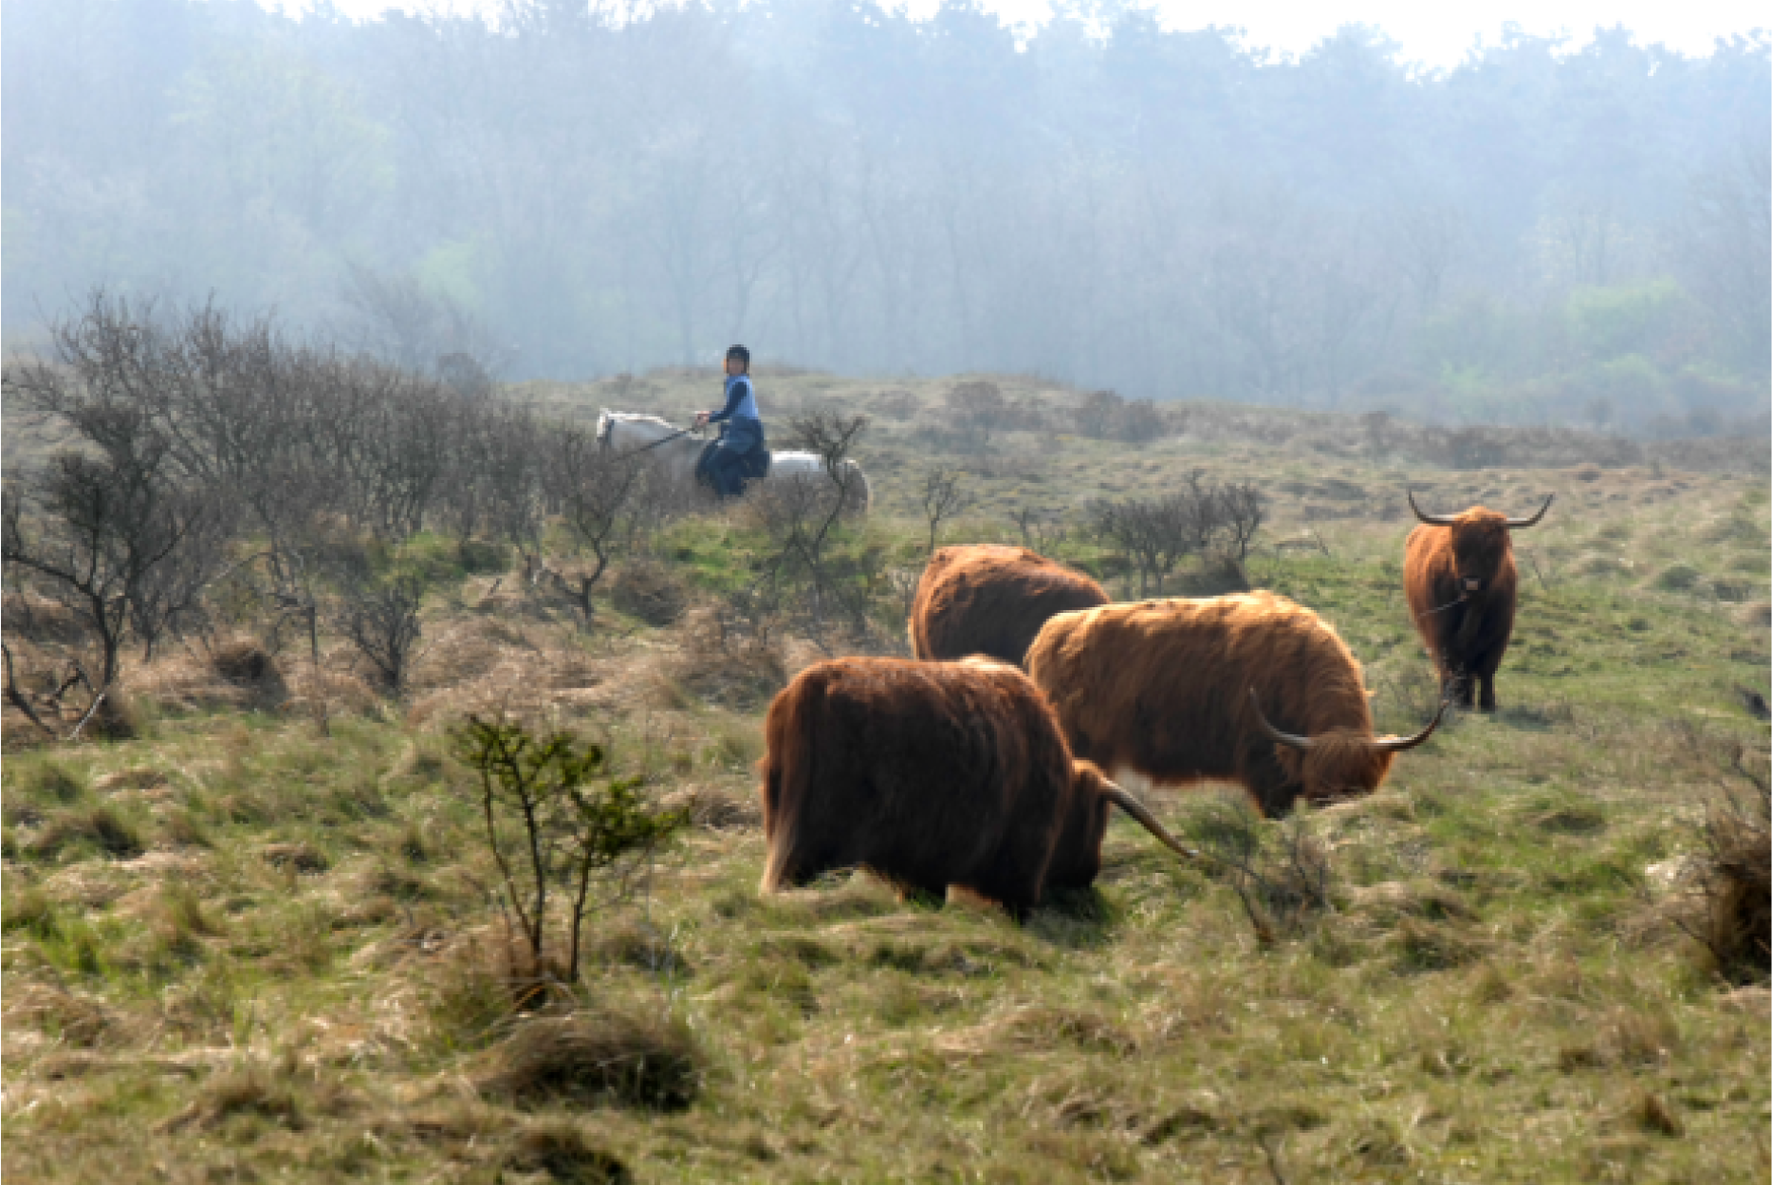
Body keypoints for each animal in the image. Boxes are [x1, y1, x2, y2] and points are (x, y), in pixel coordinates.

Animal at [758, 655, 1190, 913]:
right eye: (1097, 822)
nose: (1088, 876)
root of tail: (811, 685)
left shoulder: (925, 867)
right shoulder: (1020, 866)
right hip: (817, 847)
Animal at [1403, 488, 1559, 712]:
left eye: (1492, 551)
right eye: (1457, 548)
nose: (1472, 583)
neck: (1473, 607)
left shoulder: (1500, 633)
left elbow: (1487, 668)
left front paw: (1488, 704)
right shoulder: (1439, 631)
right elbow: (1448, 665)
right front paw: (1450, 701)